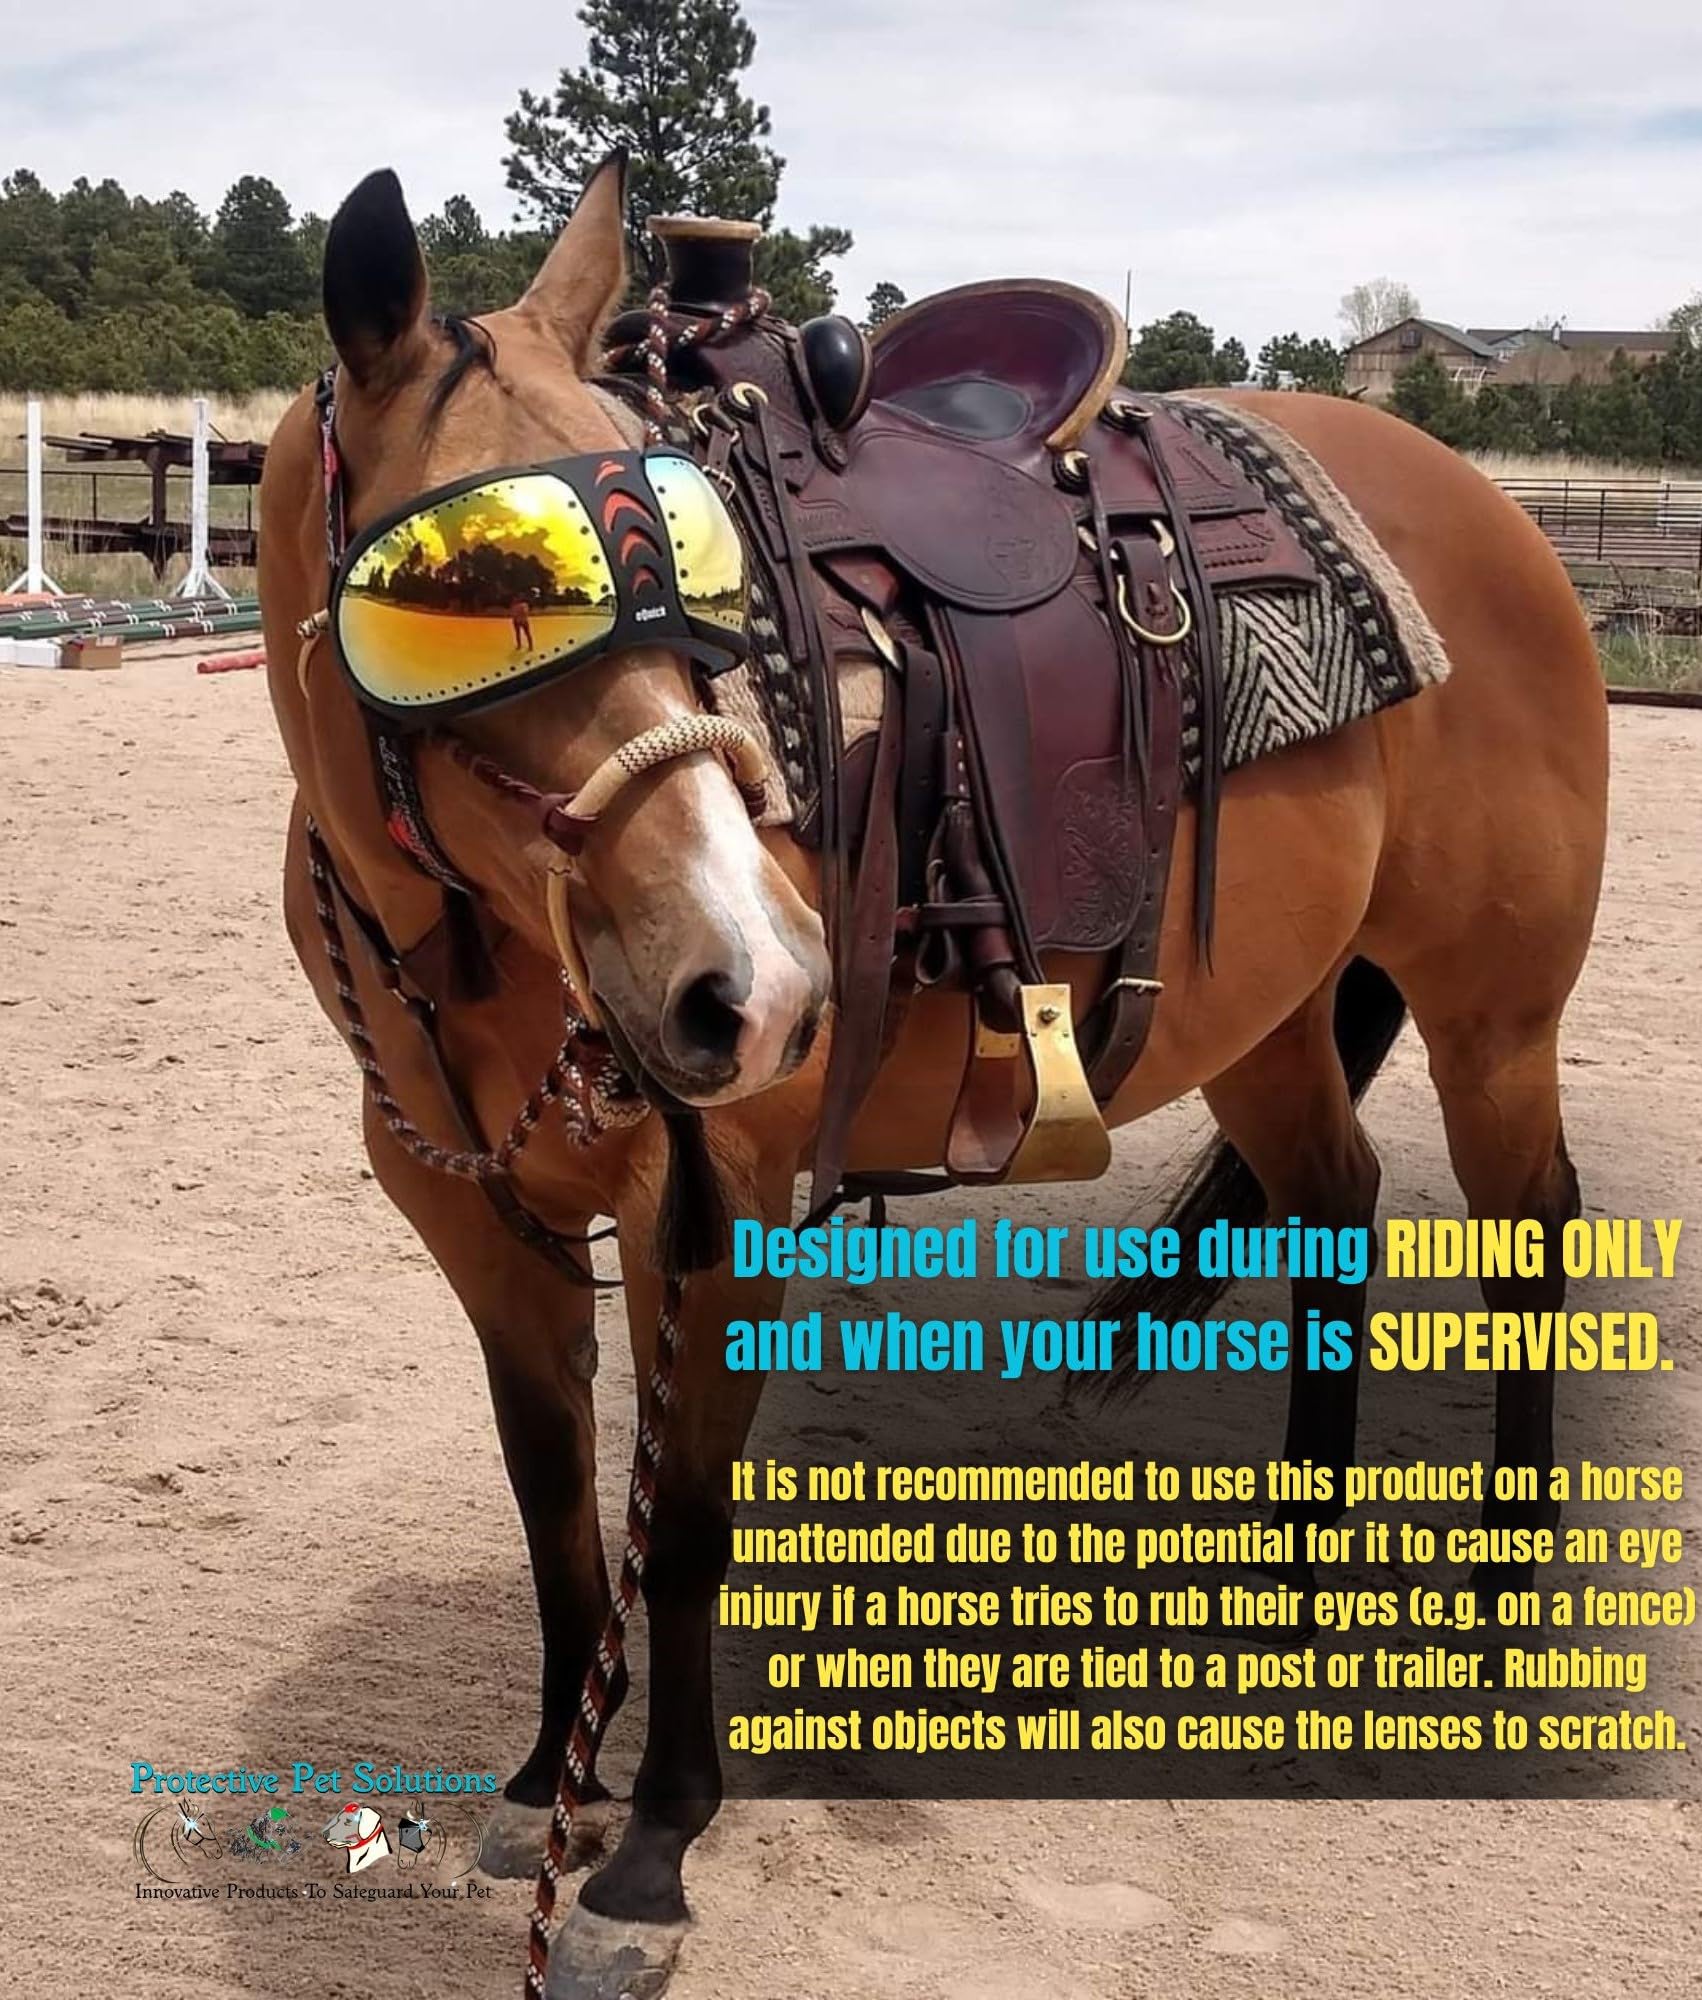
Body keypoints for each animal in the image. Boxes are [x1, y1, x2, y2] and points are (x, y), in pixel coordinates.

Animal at [258, 156, 1607, 1997]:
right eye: (459, 592)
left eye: (692, 571)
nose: (757, 986)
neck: (474, 939)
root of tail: (1492, 513)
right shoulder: (476, 1220)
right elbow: (552, 1500)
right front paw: (549, 1782)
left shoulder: (721, 1207)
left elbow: (683, 1527)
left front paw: (651, 1856)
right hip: (1264, 1018)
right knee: (1333, 1207)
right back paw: (1290, 1574)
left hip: (1491, 1016)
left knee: (1526, 1229)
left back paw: (1490, 1603)